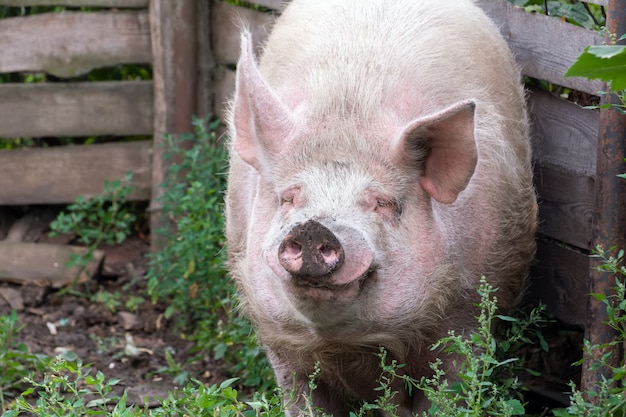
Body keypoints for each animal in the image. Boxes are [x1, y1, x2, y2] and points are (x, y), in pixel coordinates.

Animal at [224, 0, 536, 412]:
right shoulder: (278, 335)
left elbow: (446, 389)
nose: (314, 228)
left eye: (383, 203)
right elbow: (300, 396)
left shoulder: (467, 308)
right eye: (289, 197)